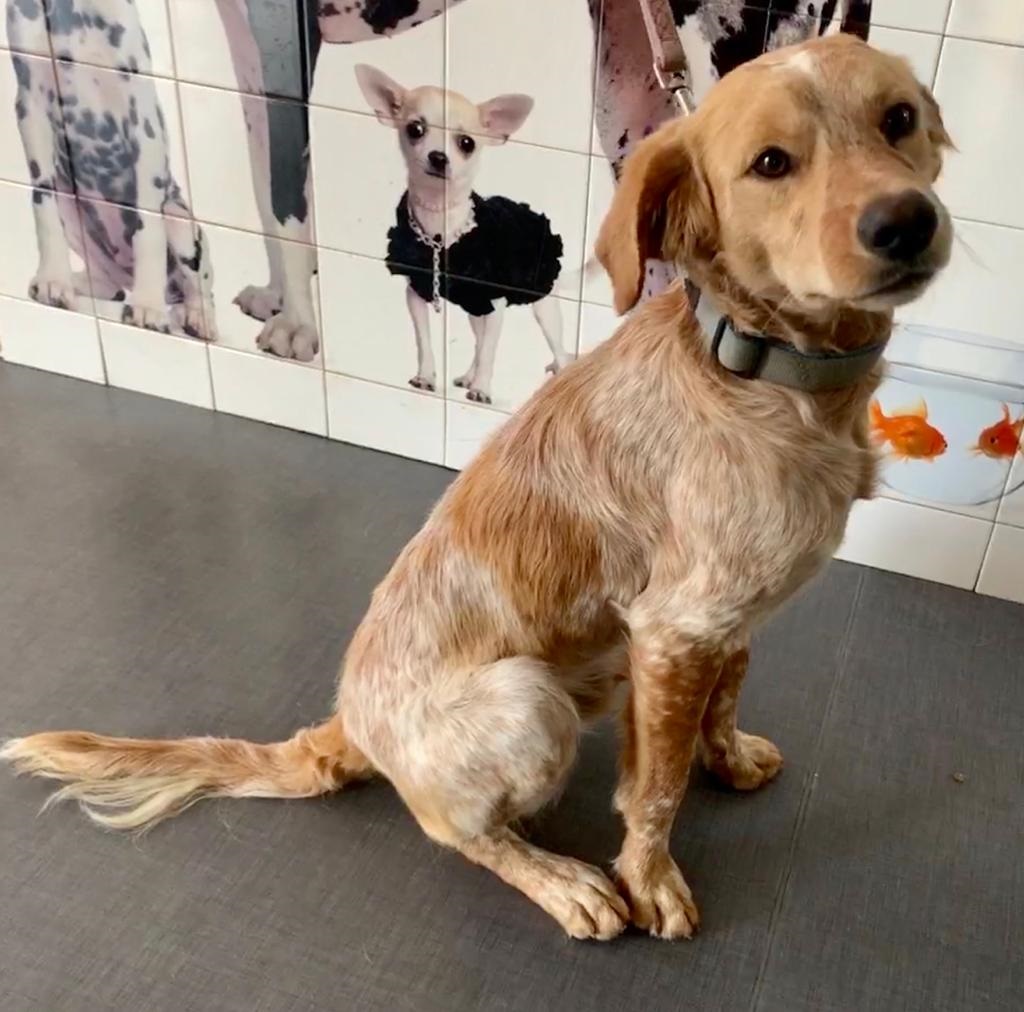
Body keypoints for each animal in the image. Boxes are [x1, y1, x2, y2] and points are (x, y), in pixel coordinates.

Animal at [8, 0, 216, 339]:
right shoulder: (31, 104)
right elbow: (43, 203)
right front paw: (54, 279)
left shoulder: (143, 121)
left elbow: (149, 226)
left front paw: (148, 306)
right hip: (71, 205)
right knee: (108, 285)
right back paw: (79, 282)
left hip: (180, 219)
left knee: (199, 286)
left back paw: (197, 316)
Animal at [355, 64, 572, 404]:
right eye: (415, 129)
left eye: (467, 143)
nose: (438, 157)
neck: (440, 231)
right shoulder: (416, 294)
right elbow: (425, 341)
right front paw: (426, 376)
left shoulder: (496, 304)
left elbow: (490, 352)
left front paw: (482, 388)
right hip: (474, 307)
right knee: (478, 341)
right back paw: (468, 375)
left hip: (543, 307)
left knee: (556, 348)